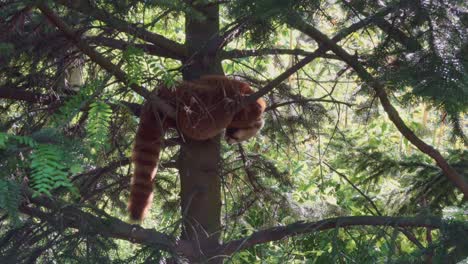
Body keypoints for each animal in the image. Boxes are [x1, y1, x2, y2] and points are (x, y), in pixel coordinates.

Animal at [128, 75, 266, 221]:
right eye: (235, 136)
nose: (228, 141)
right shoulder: (243, 96)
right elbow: (250, 107)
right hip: (188, 96)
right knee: (205, 108)